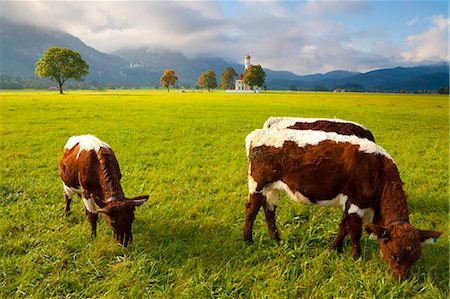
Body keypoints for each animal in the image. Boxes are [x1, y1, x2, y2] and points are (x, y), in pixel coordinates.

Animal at [244, 129, 442, 282]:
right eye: (394, 255)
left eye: (415, 258)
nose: (400, 280)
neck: (378, 171)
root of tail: (259, 133)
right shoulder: (356, 204)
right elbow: (355, 232)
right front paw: (357, 257)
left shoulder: (349, 204)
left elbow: (343, 227)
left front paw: (335, 249)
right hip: (258, 183)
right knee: (251, 210)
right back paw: (248, 240)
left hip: (273, 188)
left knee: (269, 209)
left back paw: (275, 238)